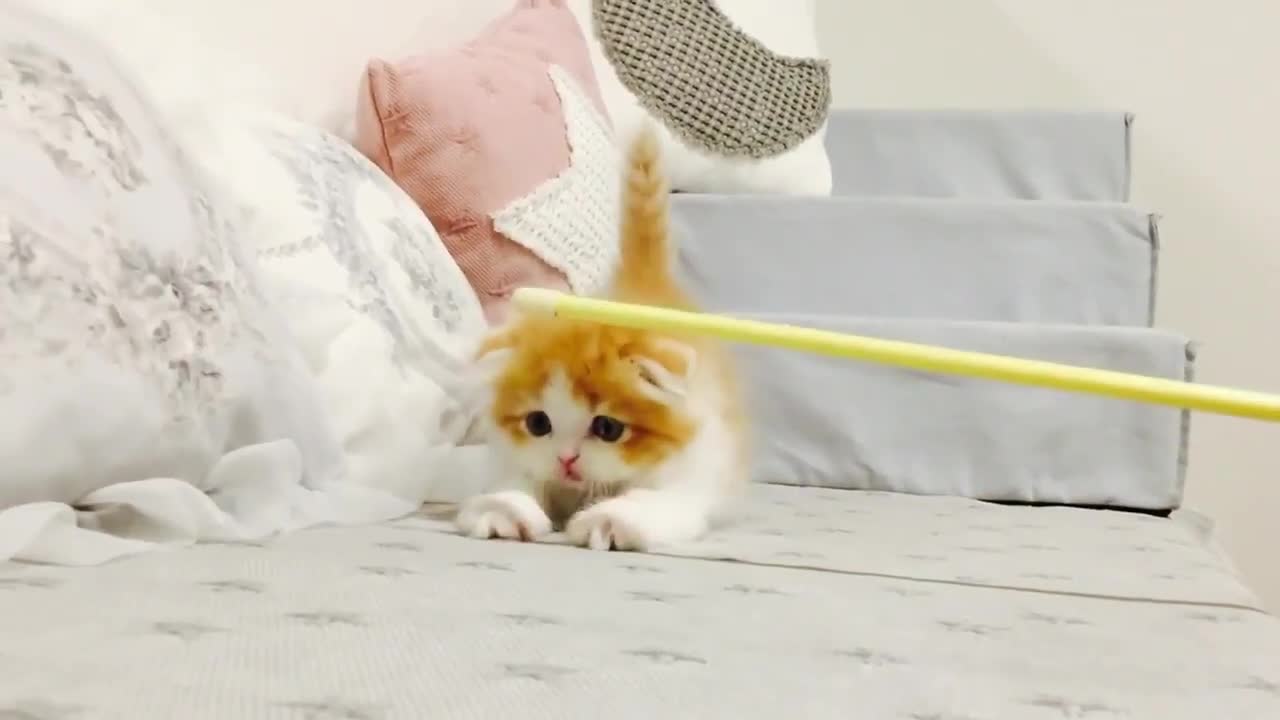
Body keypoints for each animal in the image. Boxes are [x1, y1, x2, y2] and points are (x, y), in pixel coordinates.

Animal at [455, 128, 747, 548]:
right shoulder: (511, 457)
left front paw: (605, 523)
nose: (566, 459)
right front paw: (503, 511)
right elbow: (513, 481)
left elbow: (648, 503)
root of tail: (644, 287)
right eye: (538, 423)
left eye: (608, 428)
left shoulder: (689, 477)